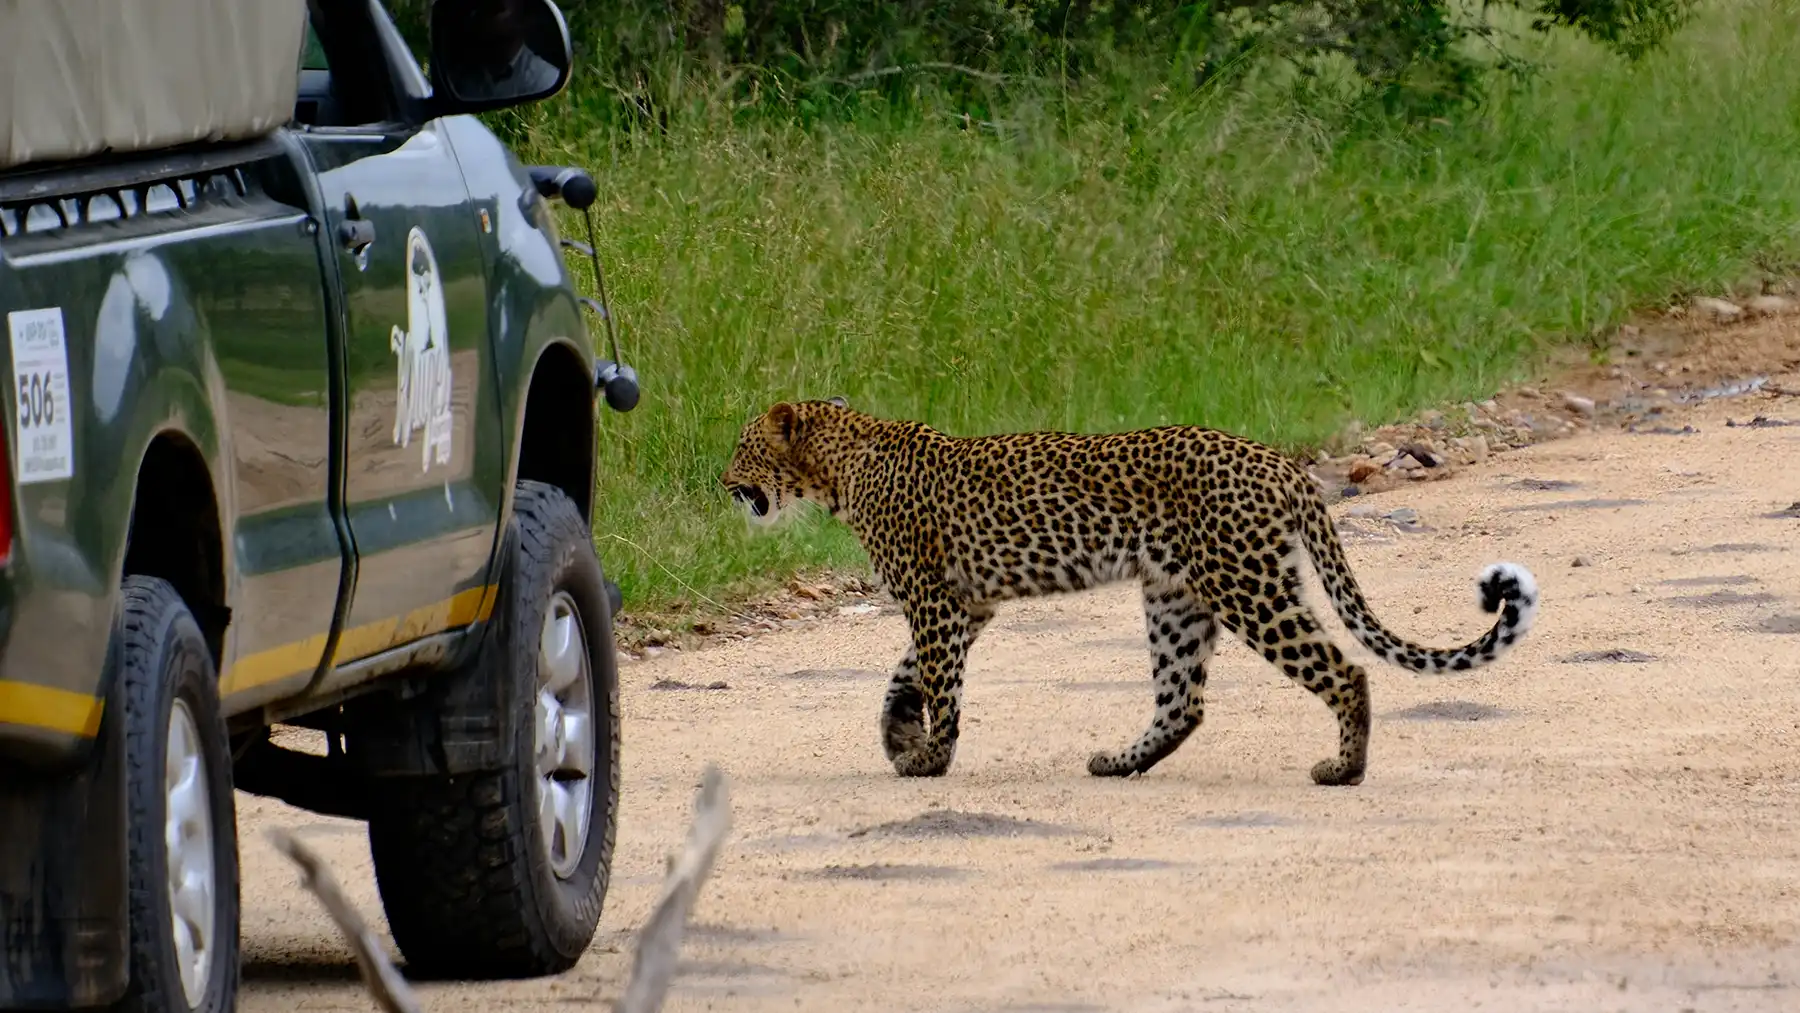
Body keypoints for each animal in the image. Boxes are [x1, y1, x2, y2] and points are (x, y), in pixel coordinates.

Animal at [720, 397, 1539, 786]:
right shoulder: (967, 604)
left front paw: (930, 757)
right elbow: (907, 673)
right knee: (1184, 701)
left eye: (743, 447)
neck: (839, 465)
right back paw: (1120, 762)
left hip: (1247, 585)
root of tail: (1283, 463)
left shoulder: (933, 598)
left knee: (1344, 670)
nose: (722, 482)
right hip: (1177, 597)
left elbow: (939, 682)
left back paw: (1344, 770)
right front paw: (900, 733)